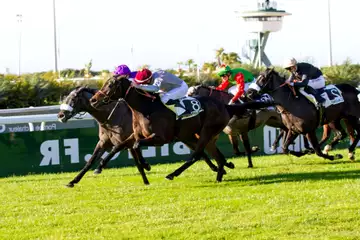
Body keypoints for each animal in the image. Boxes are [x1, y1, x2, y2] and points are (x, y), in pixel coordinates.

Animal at [88, 75, 272, 182]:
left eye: (110, 85)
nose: (93, 100)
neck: (146, 108)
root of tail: (226, 106)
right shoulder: (136, 134)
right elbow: (123, 145)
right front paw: (101, 164)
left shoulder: (160, 138)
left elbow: (137, 145)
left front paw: (146, 164)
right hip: (201, 135)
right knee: (216, 156)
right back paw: (220, 174)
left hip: (205, 132)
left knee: (196, 155)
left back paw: (172, 174)